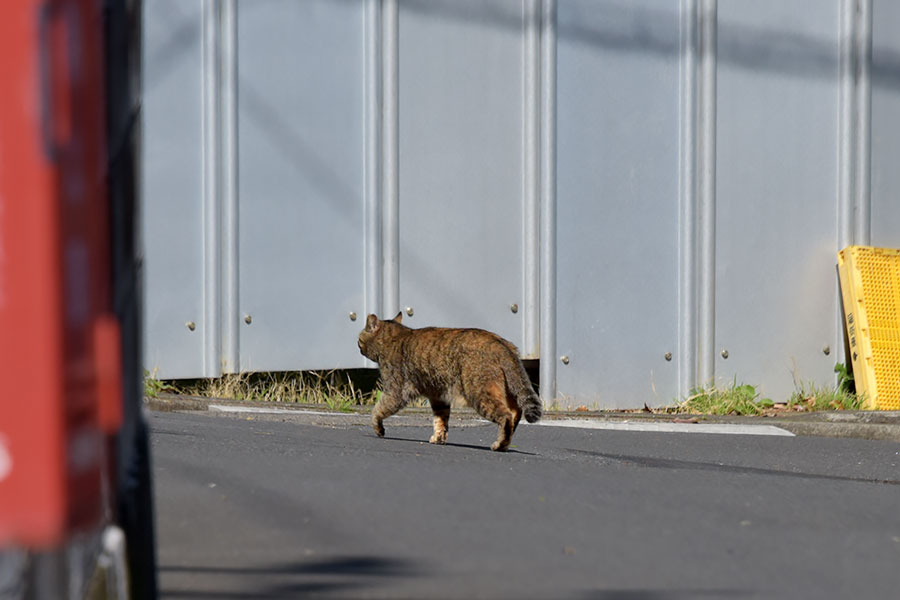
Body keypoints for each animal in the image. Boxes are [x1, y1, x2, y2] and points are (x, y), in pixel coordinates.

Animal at [358, 314, 540, 450]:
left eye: (359, 339)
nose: (358, 347)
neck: (397, 336)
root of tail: (501, 343)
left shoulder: (395, 392)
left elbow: (377, 410)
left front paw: (378, 428)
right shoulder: (438, 396)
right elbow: (441, 421)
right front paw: (438, 438)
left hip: (480, 393)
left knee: (506, 415)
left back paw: (500, 445)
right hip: (506, 390)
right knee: (516, 411)